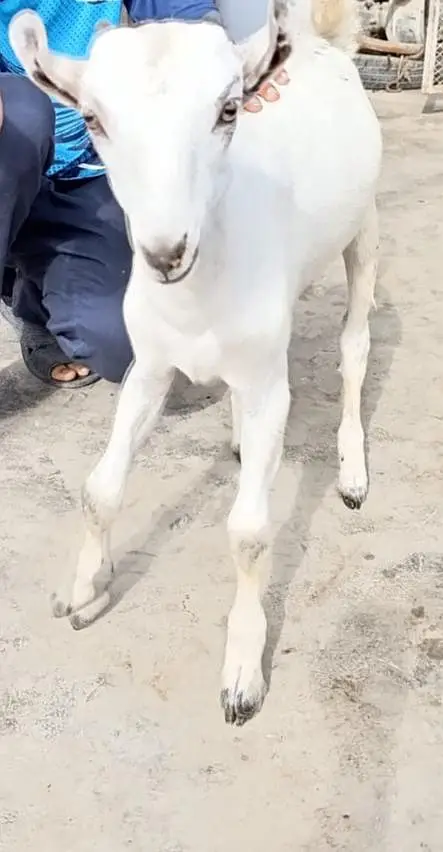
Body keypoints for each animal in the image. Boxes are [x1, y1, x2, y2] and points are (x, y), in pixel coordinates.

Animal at [10, 0, 382, 725]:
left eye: (228, 110)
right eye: (91, 118)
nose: (165, 251)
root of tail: (322, 42)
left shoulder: (267, 381)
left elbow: (249, 531)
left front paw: (242, 670)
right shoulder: (150, 366)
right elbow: (99, 489)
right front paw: (84, 588)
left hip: (365, 228)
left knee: (354, 346)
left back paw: (352, 468)